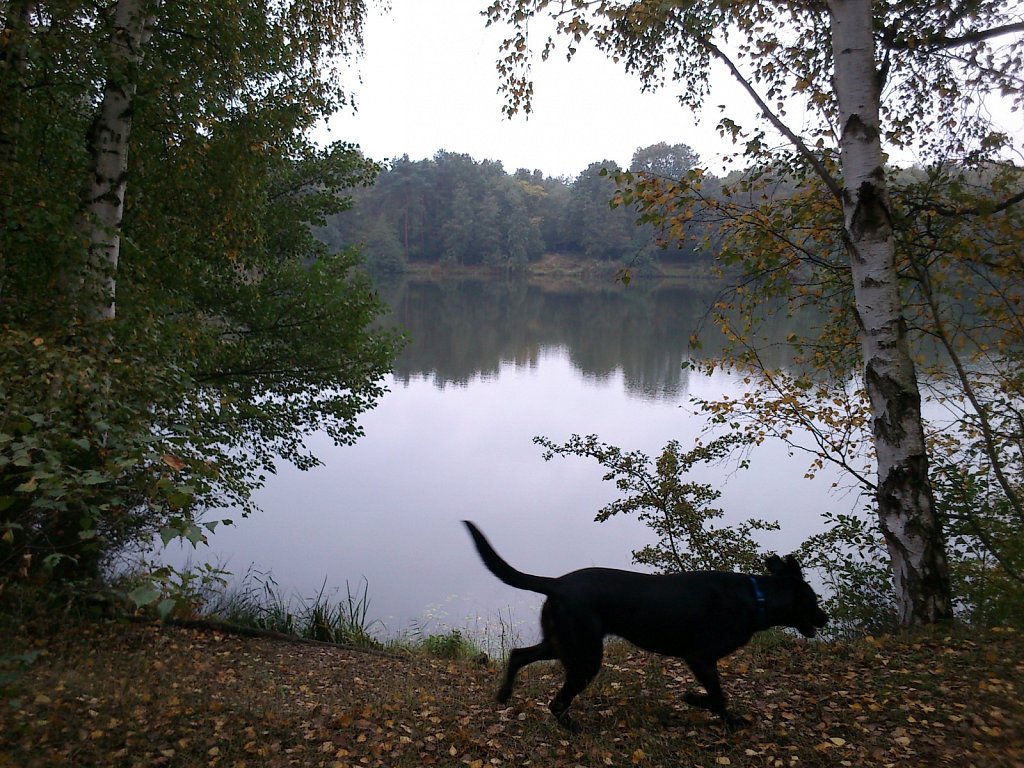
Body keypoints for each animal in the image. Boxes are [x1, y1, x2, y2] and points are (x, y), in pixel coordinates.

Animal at [468, 520, 827, 729]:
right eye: (813, 599)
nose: (825, 618)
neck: (756, 598)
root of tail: (555, 583)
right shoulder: (700, 657)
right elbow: (717, 697)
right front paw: (708, 707)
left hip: (564, 644)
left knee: (518, 655)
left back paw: (504, 695)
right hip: (585, 656)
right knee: (556, 701)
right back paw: (573, 728)